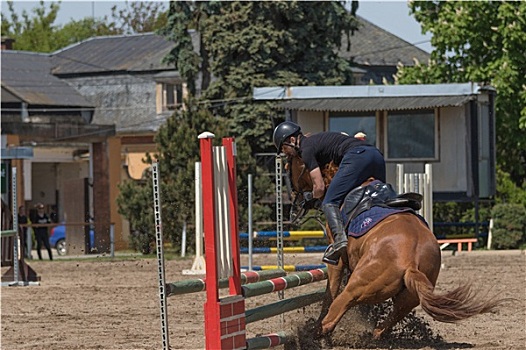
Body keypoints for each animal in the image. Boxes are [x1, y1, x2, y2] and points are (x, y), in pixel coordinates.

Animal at [286, 155, 512, 340]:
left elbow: (329, 292)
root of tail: (410, 262)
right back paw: (371, 335)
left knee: (334, 314)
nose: (294, 201)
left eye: (292, 166)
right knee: (385, 324)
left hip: (356, 289)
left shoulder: (338, 259)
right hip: (407, 299)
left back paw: (312, 335)